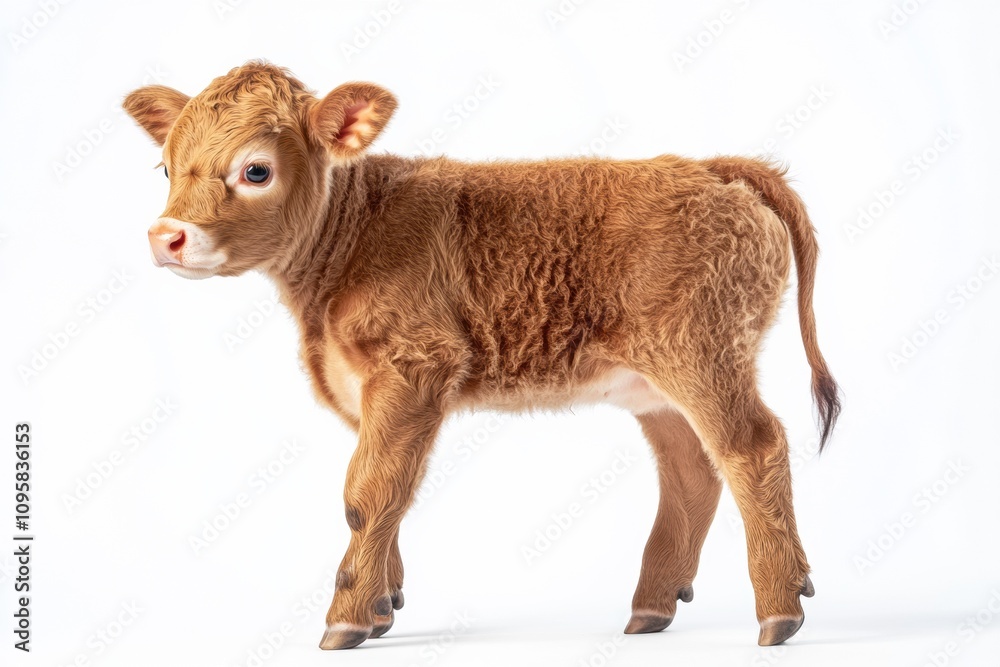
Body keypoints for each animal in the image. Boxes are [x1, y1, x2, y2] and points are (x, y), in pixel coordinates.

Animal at [123, 61, 840, 650]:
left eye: (256, 170)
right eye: (166, 168)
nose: (166, 236)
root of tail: (712, 166)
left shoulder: (415, 367)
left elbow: (367, 493)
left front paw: (346, 620)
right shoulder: (370, 393)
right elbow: (391, 490)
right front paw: (382, 606)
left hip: (704, 356)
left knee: (753, 446)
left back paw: (779, 612)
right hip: (655, 387)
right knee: (692, 470)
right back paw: (652, 610)